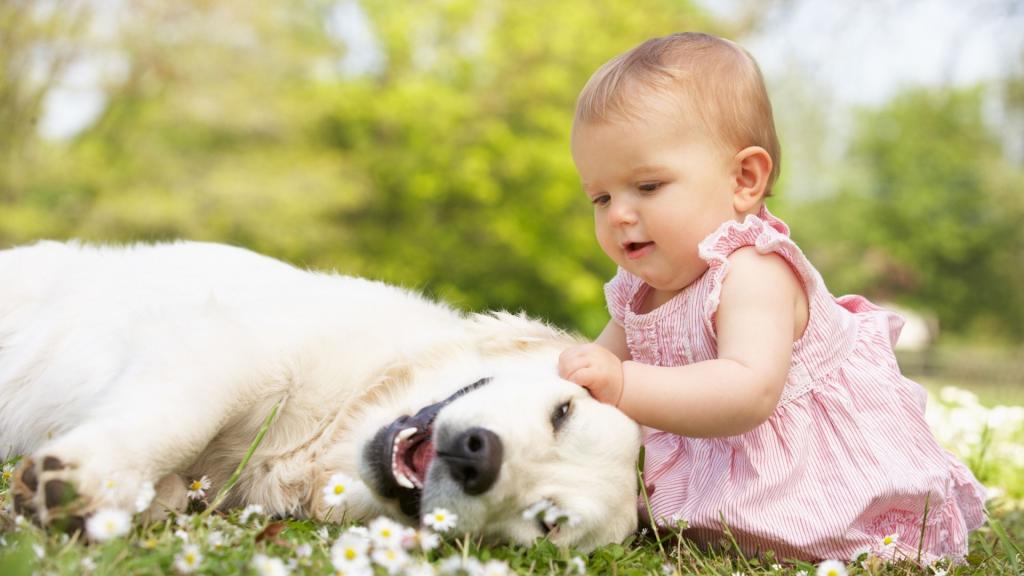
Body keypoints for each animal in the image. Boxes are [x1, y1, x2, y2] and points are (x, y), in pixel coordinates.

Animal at [0, 238, 638, 545]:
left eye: (546, 523)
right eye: (563, 412)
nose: (477, 458)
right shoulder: (232, 347)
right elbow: (179, 421)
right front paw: (89, 480)